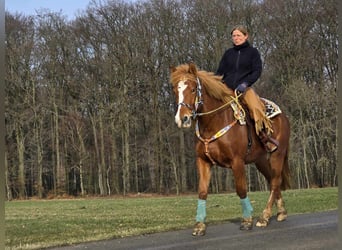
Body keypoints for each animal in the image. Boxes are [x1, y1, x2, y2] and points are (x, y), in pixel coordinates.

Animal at [170, 63, 290, 236]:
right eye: (175, 90)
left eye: (192, 89)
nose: (182, 118)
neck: (214, 122)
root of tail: (284, 117)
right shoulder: (203, 161)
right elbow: (202, 192)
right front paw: (199, 225)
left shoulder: (237, 162)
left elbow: (241, 190)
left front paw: (247, 221)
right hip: (260, 160)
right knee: (272, 179)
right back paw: (281, 212)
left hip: (277, 154)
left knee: (275, 181)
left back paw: (264, 217)